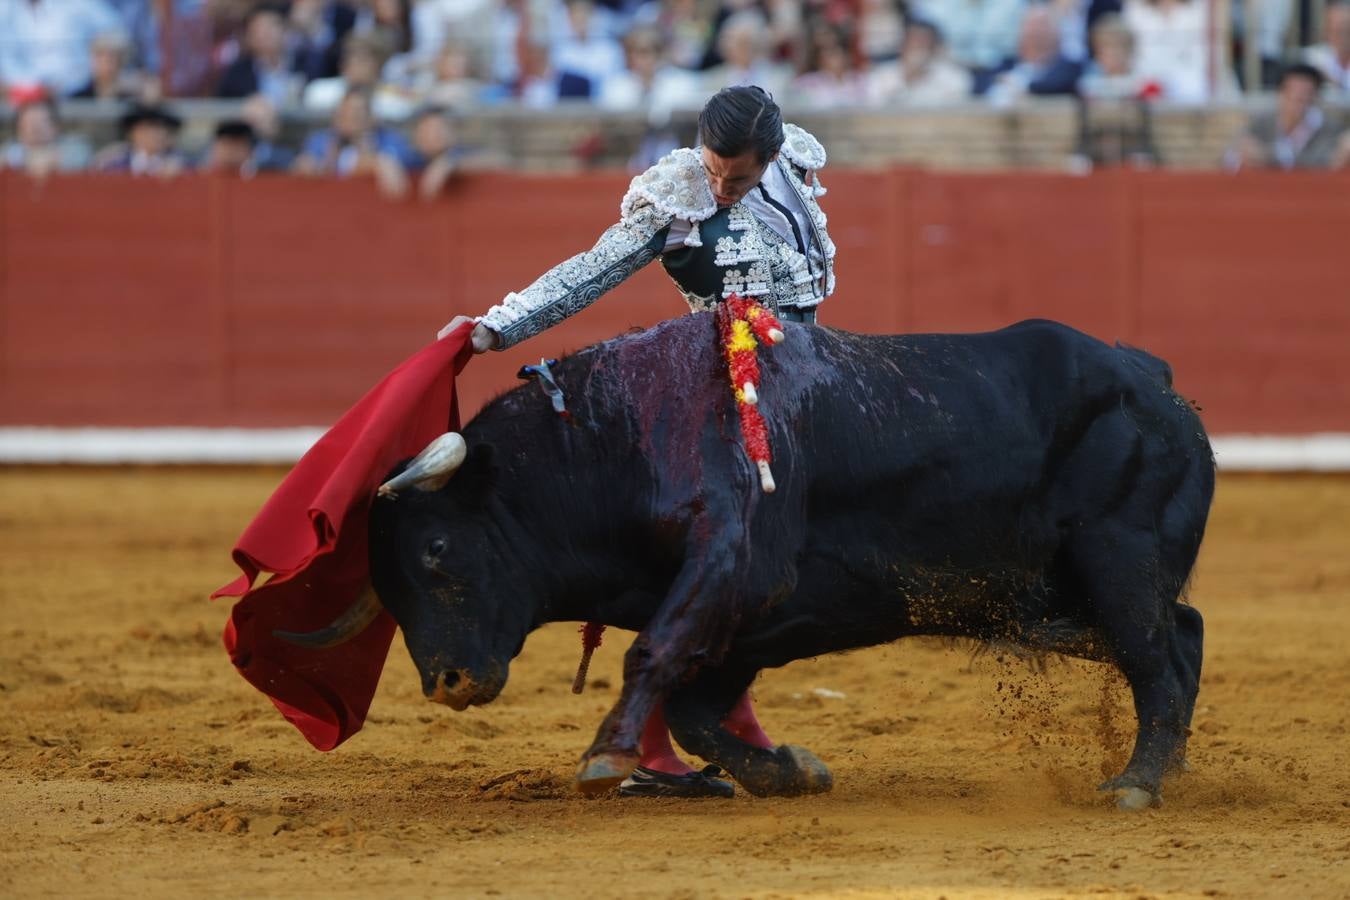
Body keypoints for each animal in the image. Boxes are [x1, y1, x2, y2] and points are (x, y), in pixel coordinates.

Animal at [306, 313, 1215, 804]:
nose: (448, 684)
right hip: (1044, 602)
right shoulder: (751, 616)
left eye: (435, 549)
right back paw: (1163, 770)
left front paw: (605, 755)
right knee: (1181, 635)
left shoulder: (733, 564)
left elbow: (652, 658)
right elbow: (696, 709)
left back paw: (1136, 782)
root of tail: (1153, 376)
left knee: (1156, 655)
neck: (612, 440)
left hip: (1118, 561)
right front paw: (788, 771)